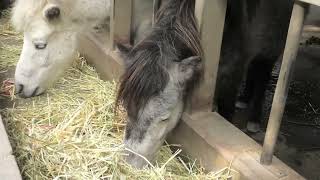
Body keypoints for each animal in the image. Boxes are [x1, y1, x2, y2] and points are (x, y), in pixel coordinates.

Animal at [215, 0, 296, 132]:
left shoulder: (233, 68)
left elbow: (226, 101)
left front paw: (226, 122)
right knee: (252, 72)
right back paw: (243, 100)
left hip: (270, 50)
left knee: (261, 81)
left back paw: (254, 121)